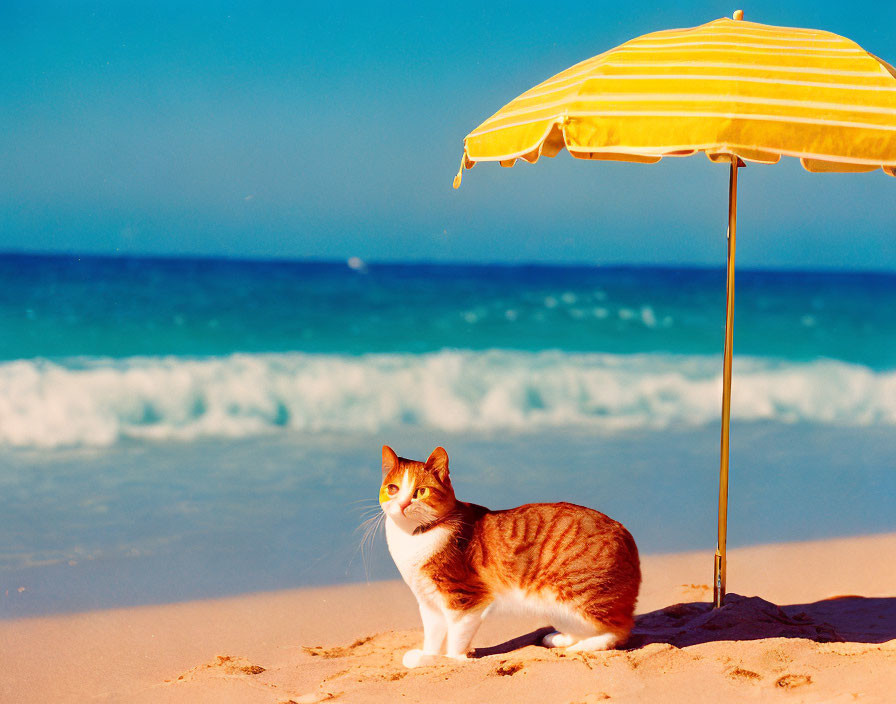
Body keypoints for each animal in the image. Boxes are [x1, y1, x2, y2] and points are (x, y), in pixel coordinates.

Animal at [382, 442, 640, 668]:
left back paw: (579, 647)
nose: (403, 504)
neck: (414, 537)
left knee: (619, 630)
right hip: (556, 607)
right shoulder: (429, 603)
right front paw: (427, 656)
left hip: (575, 595)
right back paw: (560, 638)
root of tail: (625, 533)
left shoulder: (466, 599)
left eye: (420, 491)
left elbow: (456, 637)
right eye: (392, 489)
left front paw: (451, 660)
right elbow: (433, 636)